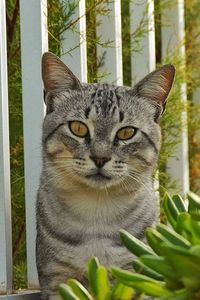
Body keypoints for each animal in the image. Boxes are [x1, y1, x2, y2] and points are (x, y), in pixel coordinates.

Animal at [36, 52, 175, 300]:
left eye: (127, 132)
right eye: (78, 128)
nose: (100, 158)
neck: (97, 212)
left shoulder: (137, 274)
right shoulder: (57, 277)